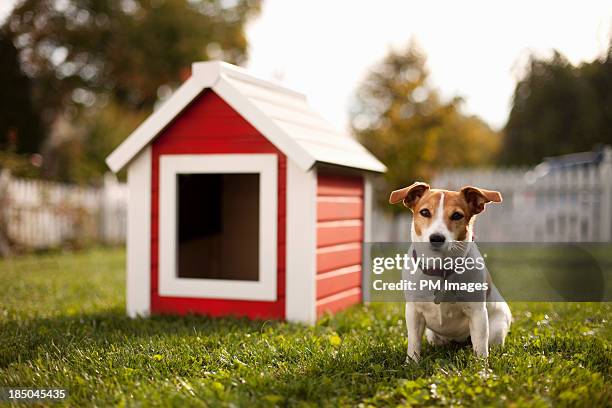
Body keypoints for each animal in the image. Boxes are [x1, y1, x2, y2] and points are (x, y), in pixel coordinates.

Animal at [390, 182, 512, 360]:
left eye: (456, 215)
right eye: (425, 212)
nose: (436, 238)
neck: (441, 268)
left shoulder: (477, 314)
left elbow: (480, 347)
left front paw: (481, 367)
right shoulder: (414, 312)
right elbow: (414, 343)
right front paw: (411, 362)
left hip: (496, 329)